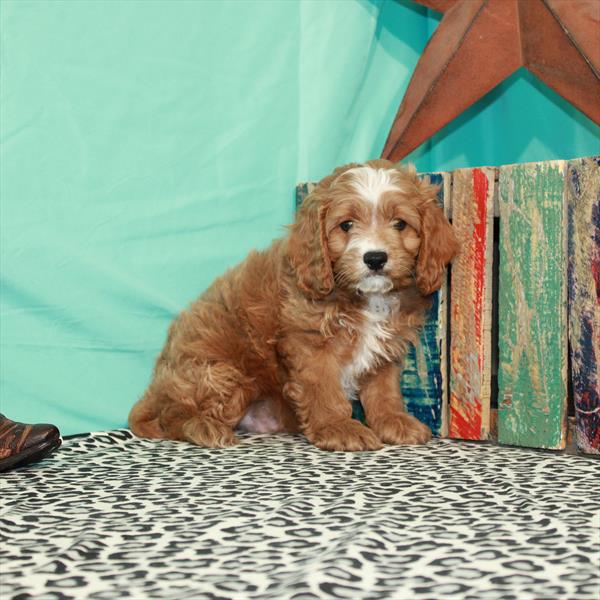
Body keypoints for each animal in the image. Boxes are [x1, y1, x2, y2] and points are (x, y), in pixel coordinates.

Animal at [129, 159, 458, 450]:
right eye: (346, 225)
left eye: (400, 224)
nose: (375, 258)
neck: (363, 296)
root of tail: (157, 386)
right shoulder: (310, 345)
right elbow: (323, 389)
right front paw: (338, 427)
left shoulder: (385, 349)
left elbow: (383, 390)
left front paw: (393, 421)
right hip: (220, 373)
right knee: (172, 413)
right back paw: (202, 427)